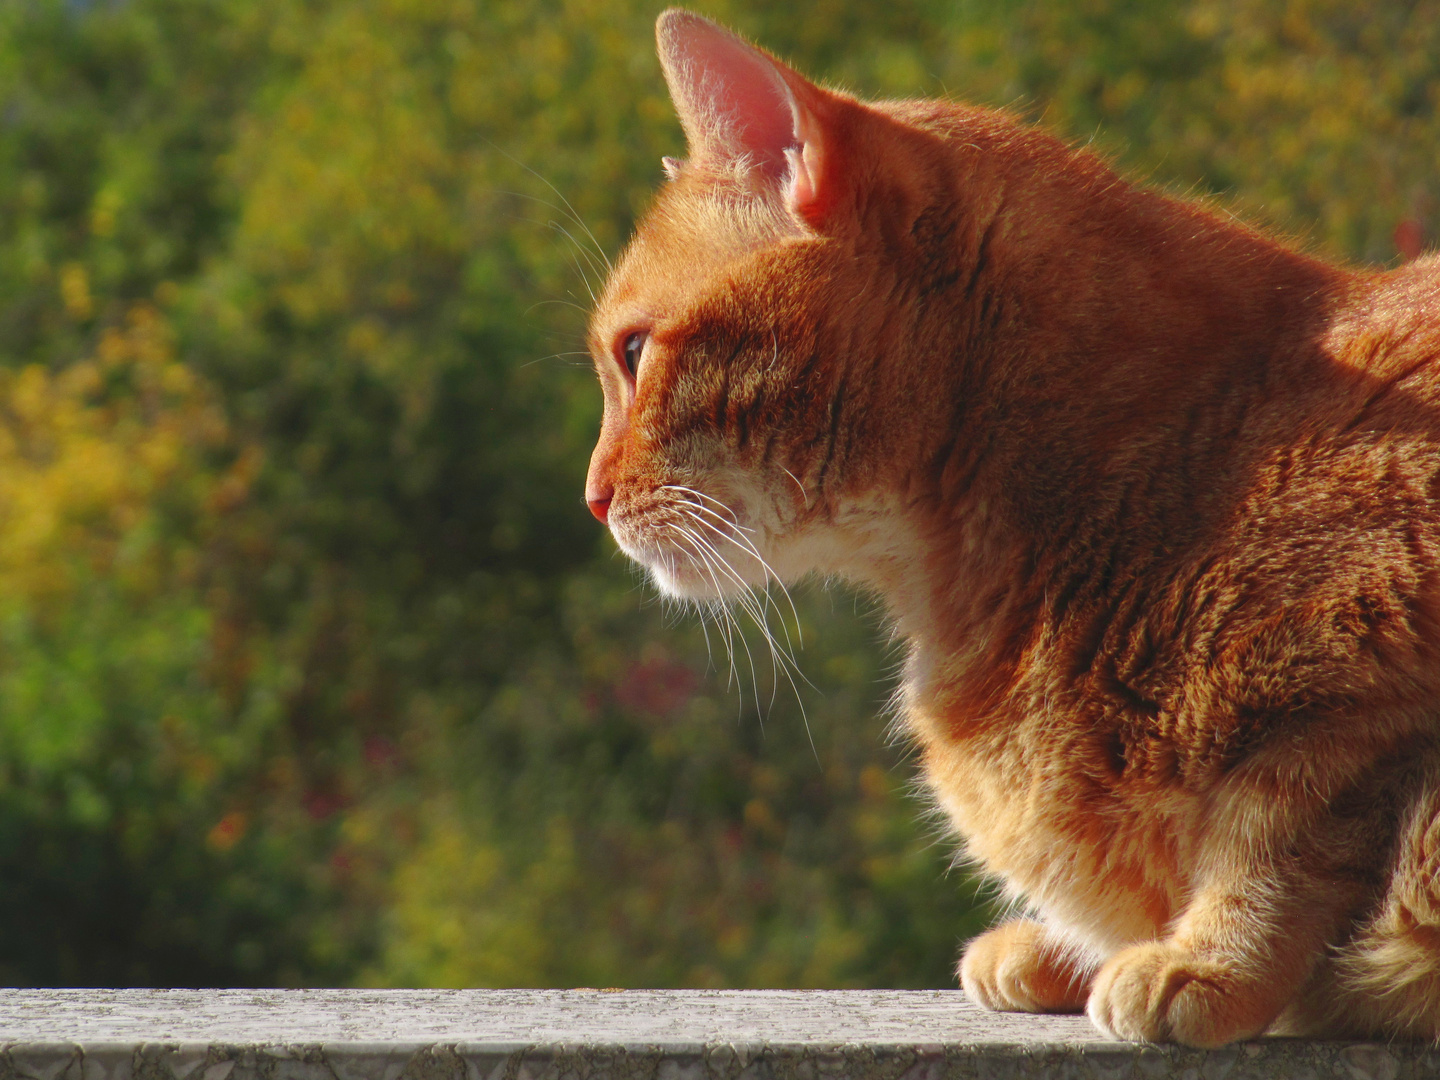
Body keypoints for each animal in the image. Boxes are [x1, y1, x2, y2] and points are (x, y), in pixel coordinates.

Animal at [578, 6, 1440, 1042]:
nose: (591, 495)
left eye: (633, 353)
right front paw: (1070, 947)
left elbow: (1277, 842)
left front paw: (1207, 962)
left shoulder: (1352, 695)